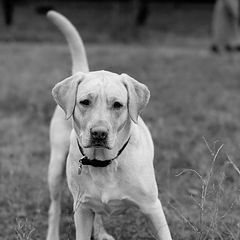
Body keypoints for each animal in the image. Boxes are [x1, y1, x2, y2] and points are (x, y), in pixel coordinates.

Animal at [45, 9, 172, 240]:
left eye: (118, 104)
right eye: (85, 102)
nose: (99, 134)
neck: (104, 162)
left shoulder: (153, 207)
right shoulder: (82, 210)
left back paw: (101, 232)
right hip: (56, 168)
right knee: (55, 206)